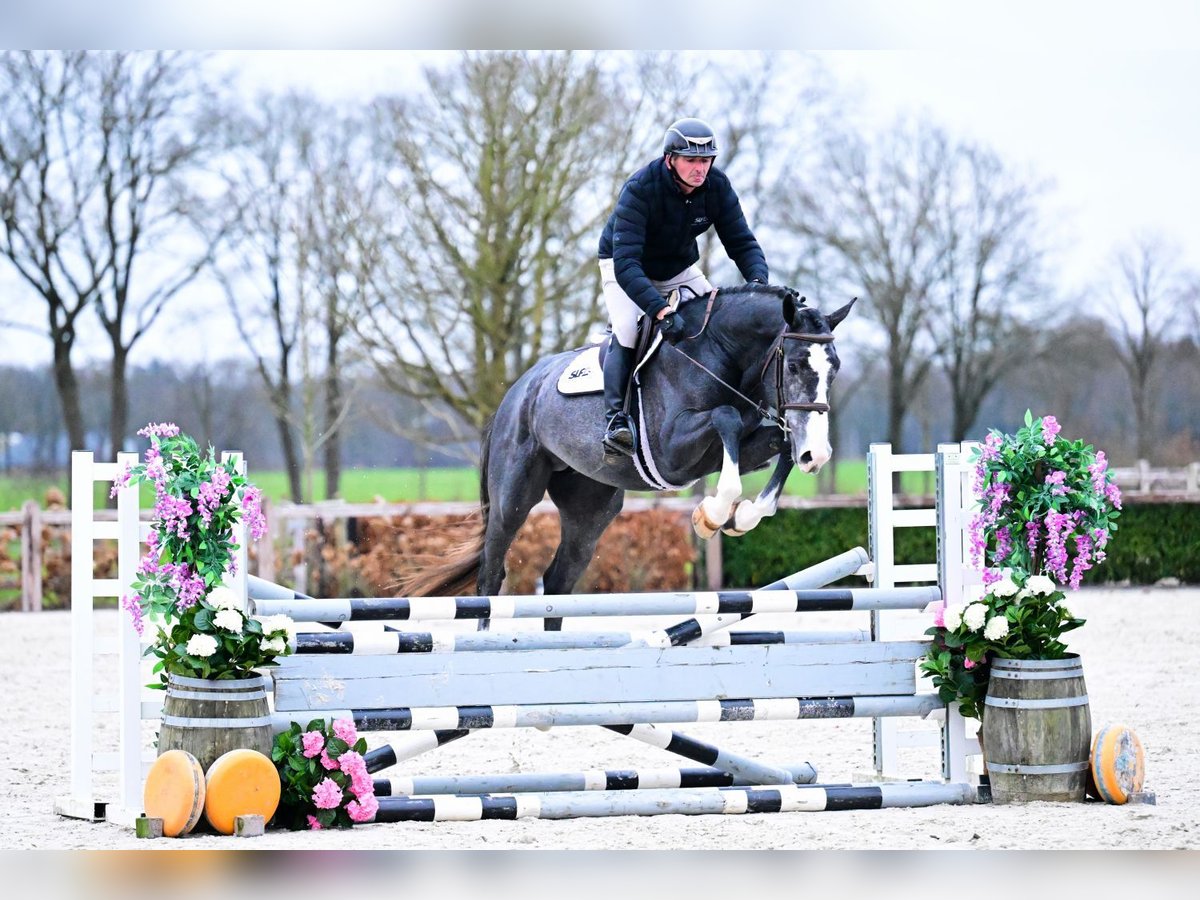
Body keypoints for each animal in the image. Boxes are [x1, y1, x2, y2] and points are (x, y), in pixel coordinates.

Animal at [403, 285, 854, 609]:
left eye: (834, 368)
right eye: (793, 364)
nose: (819, 456)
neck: (718, 355)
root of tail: (515, 394)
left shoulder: (743, 445)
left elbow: (782, 442)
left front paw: (744, 517)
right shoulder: (674, 452)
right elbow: (725, 417)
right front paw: (714, 513)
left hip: (591, 509)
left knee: (558, 581)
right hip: (513, 498)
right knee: (491, 575)